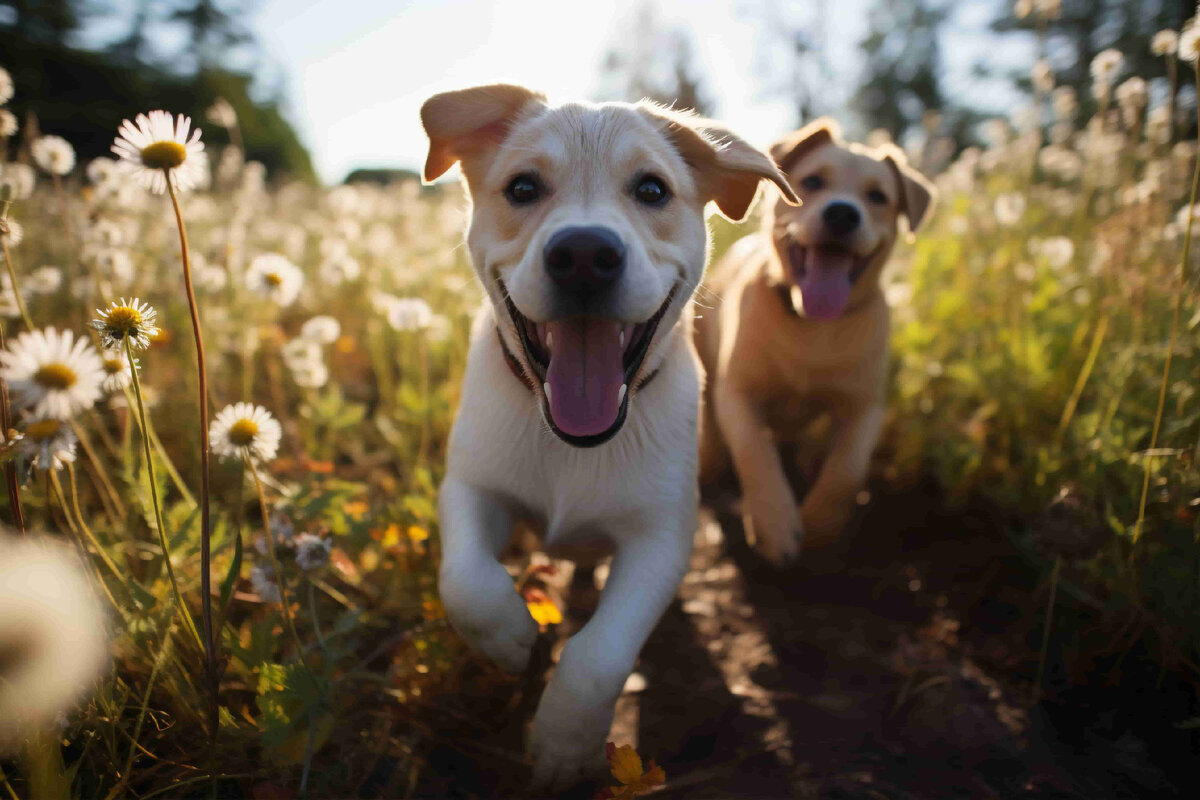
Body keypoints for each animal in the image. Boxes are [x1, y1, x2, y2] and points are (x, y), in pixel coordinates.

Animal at [422, 84, 796, 791]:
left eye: (652, 190)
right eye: (522, 187)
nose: (584, 255)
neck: (570, 442)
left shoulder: (660, 541)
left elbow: (599, 652)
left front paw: (565, 747)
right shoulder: (472, 487)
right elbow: (465, 579)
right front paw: (510, 638)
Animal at [696, 118, 936, 566]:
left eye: (878, 196)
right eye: (811, 181)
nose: (842, 213)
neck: (810, 326)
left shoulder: (866, 405)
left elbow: (847, 469)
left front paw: (820, 525)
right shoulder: (737, 392)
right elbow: (756, 453)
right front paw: (775, 525)